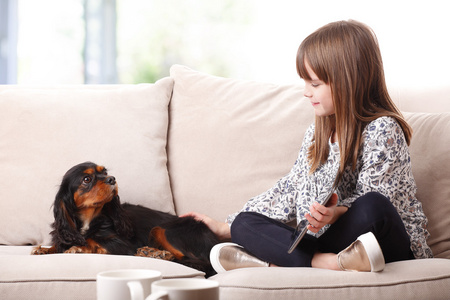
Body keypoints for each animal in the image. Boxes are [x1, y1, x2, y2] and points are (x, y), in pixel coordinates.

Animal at [32, 162, 219, 276]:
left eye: (105, 172)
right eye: (87, 179)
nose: (112, 179)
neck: (89, 219)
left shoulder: (122, 245)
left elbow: (93, 241)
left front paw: (78, 248)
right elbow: (61, 244)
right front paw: (45, 249)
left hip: (164, 229)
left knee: (198, 262)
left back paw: (157, 253)